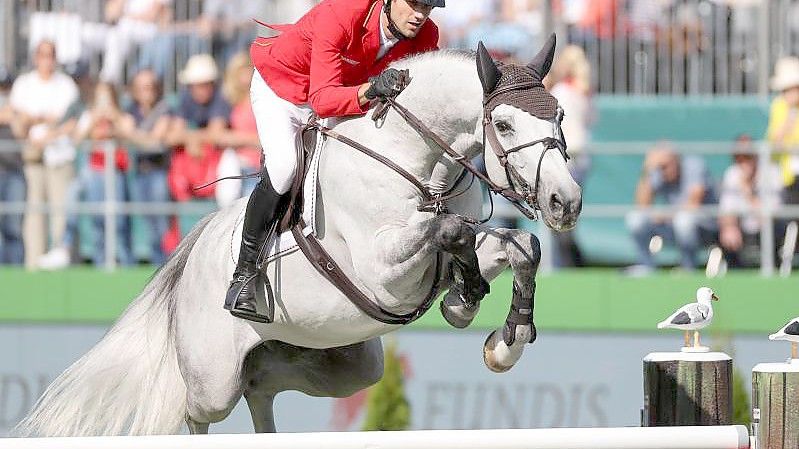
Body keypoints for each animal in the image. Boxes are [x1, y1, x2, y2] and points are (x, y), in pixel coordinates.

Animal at [17, 36, 580, 436]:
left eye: (560, 114)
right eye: (503, 125)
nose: (566, 202)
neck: (419, 163)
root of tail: (193, 249)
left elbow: (519, 246)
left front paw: (502, 338)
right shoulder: (384, 274)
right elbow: (451, 229)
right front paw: (467, 301)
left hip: (342, 362)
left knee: (261, 385)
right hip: (211, 380)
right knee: (198, 410)